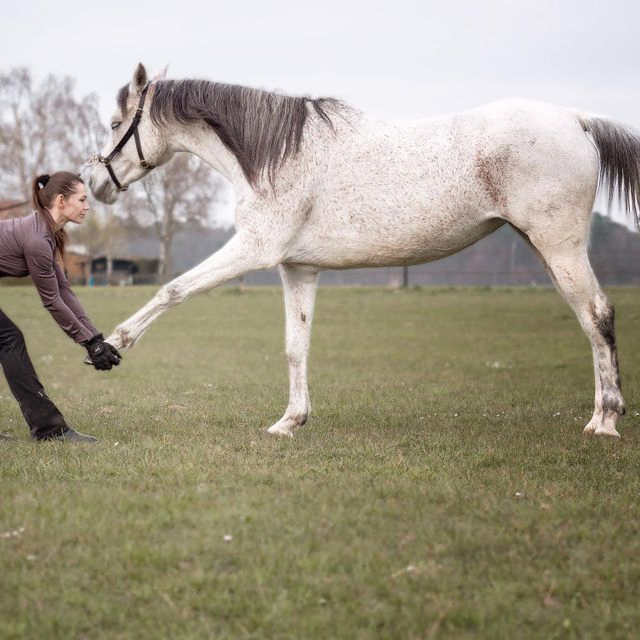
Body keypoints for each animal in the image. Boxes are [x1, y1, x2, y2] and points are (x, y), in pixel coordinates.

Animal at [87, 62, 636, 438]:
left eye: (115, 124)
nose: (95, 185)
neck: (275, 154)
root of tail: (578, 120)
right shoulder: (298, 269)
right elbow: (296, 346)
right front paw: (290, 421)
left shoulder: (253, 250)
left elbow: (173, 290)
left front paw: (111, 345)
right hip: (547, 249)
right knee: (587, 319)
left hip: (560, 246)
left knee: (597, 315)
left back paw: (605, 421)